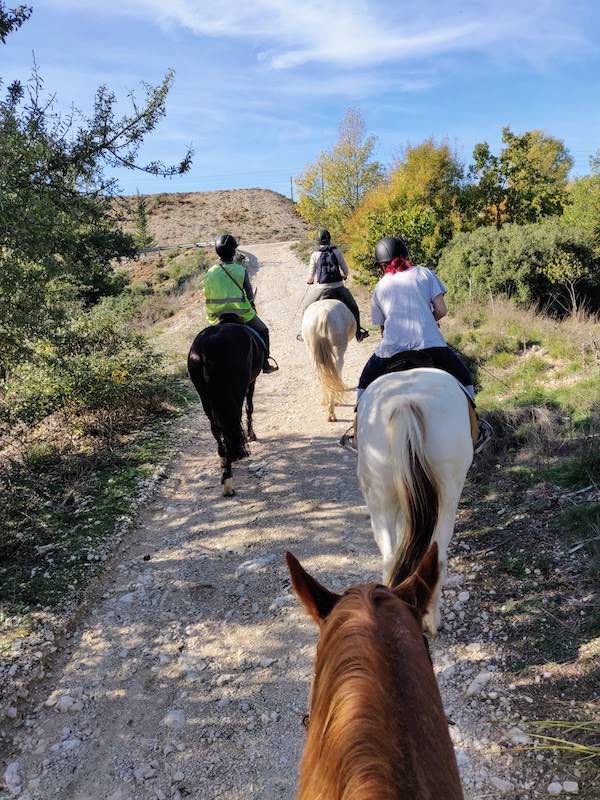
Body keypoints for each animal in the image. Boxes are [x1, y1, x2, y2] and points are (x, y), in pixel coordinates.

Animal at [187, 319, 263, 496]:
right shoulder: (251, 381)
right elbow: (250, 407)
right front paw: (251, 435)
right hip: (236, 391)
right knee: (230, 426)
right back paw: (228, 479)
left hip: (205, 396)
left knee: (215, 427)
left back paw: (223, 457)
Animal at [356, 368, 473, 635]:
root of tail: (405, 403)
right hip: (448, 493)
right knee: (436, 557)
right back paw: (431, 620)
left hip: (380, 494)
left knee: (391, 556)